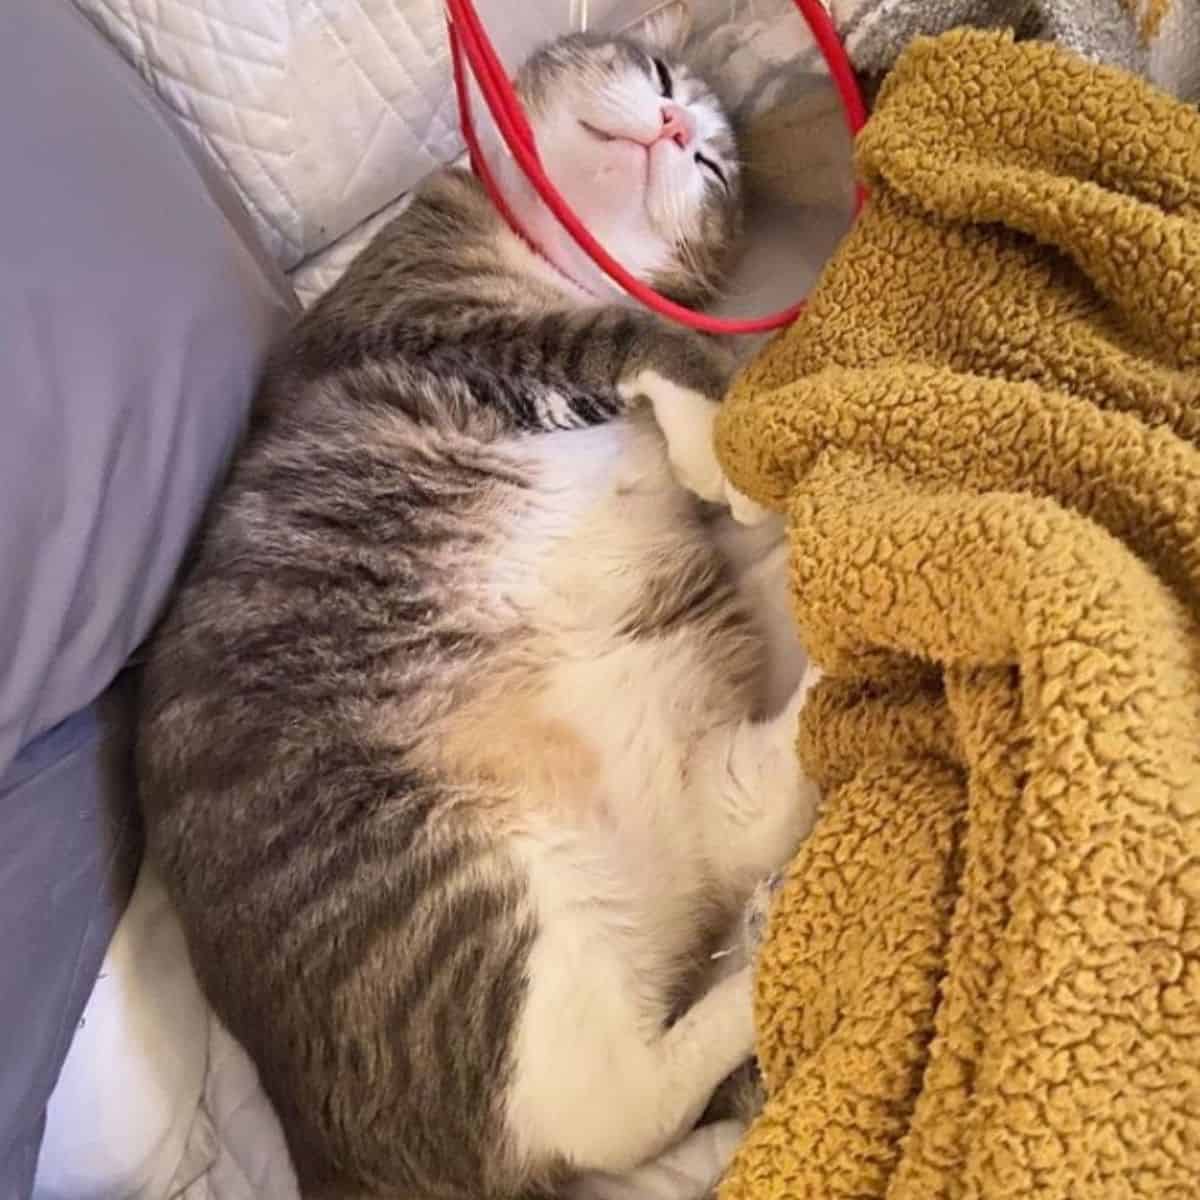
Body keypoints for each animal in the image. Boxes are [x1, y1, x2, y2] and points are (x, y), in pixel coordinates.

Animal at [136, 18, 820, 1200]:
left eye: (712, 167)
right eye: (663, 80)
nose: (677, 125)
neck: (541, 257)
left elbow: (651, 337)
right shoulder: (427, 321)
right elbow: (645, 336)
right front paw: (714, 439)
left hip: (663, 791)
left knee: (752, 817)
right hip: (456, 902)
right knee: (612, 1113)